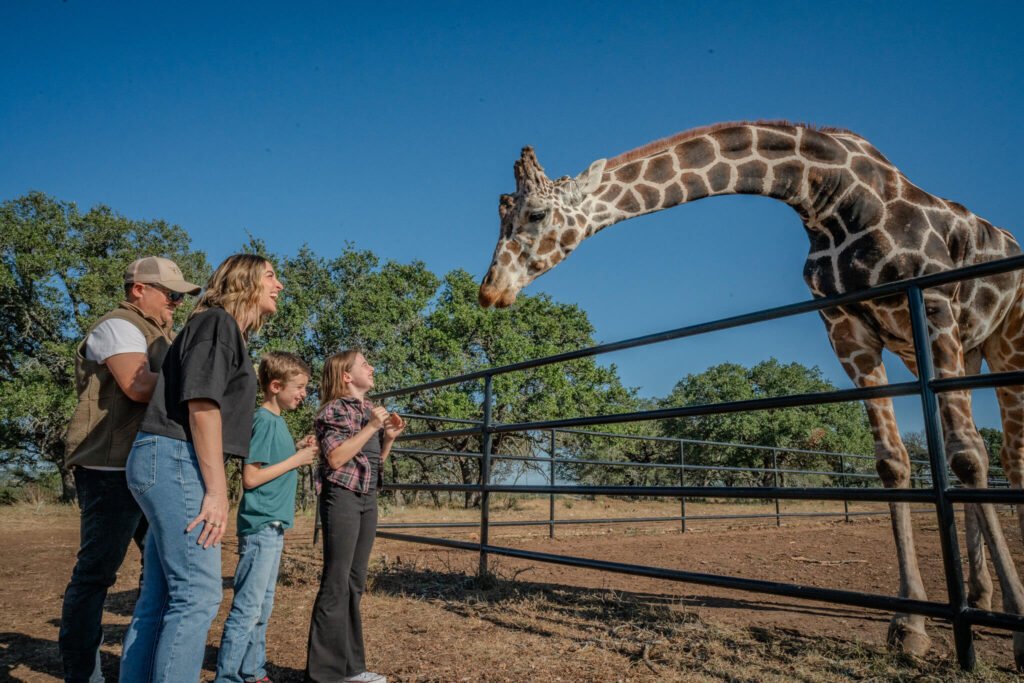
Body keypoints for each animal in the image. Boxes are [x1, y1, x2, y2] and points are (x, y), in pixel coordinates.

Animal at [477, 121, 1024, 668]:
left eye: (535, 213)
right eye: (501, 212)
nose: (490, 290)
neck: (828, 196)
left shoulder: (931, 305)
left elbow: (968, 457)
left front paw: (1015, 623)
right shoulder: (847, 327)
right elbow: (895, 463)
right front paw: (909, 625)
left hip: (1004, 343)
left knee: (1003, 457)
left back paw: (999, 605)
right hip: (959, 350)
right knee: (976, 449)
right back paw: (979, 597)